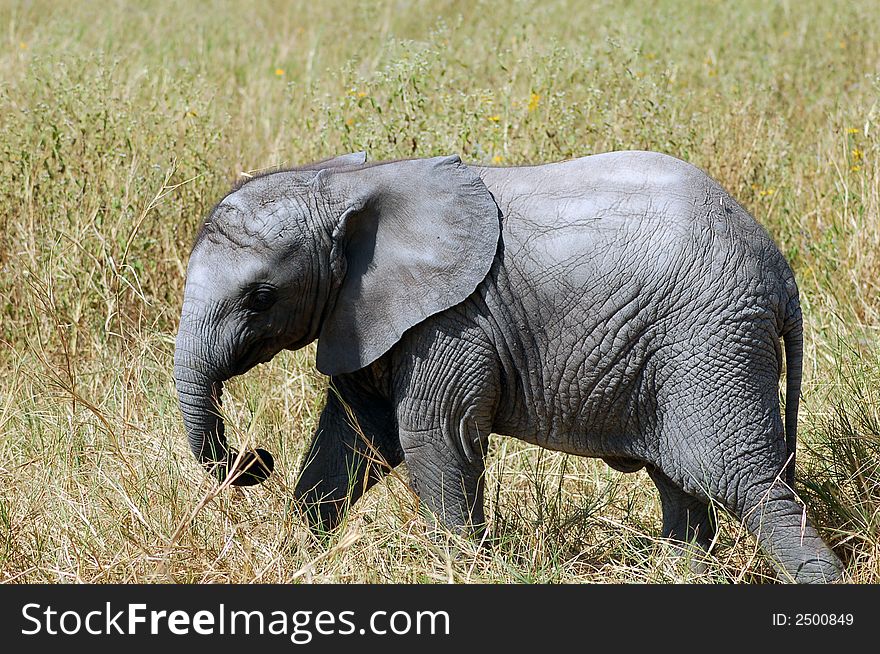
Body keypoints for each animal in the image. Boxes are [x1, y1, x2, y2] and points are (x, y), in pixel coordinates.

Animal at [174, 150, 844, 584]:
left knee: (745, 480)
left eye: (261, 297)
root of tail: (781, 274)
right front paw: (299, 558)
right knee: (681, 479)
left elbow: (433, 438)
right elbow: (355, 437)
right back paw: (679, 574)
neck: (349, 182)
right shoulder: (365, 314)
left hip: (709, 338)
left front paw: (463, 570)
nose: (255, 458)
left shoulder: (449, 320)